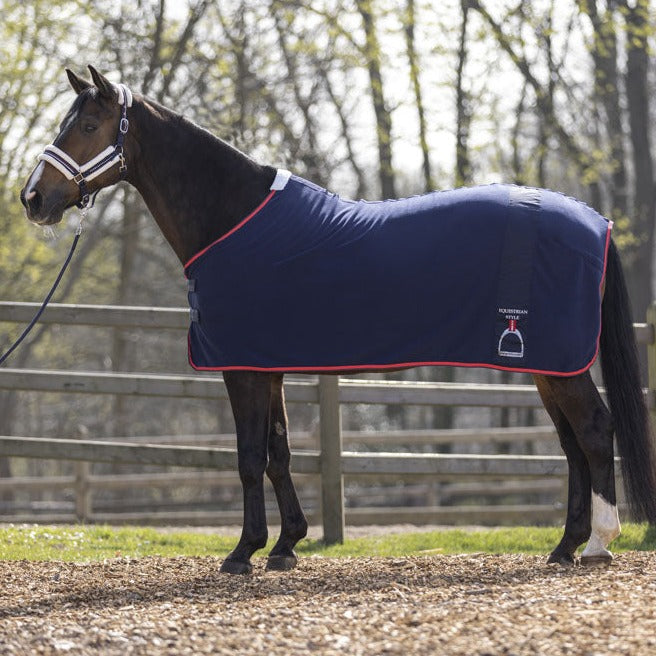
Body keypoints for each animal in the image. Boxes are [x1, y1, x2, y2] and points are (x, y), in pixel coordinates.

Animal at [20, 66, 656, 574]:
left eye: (88, 126)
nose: (33, 199)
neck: (233, 218)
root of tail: (596, 223)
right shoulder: (267, 365)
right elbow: (278, 453)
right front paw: (285, 546)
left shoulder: (241, 366)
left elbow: (248, 458)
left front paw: (243, 552)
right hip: (550, 363)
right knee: (572, 444)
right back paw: (564, 546)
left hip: (557, 359)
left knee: (593, 431)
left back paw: (598, 543)